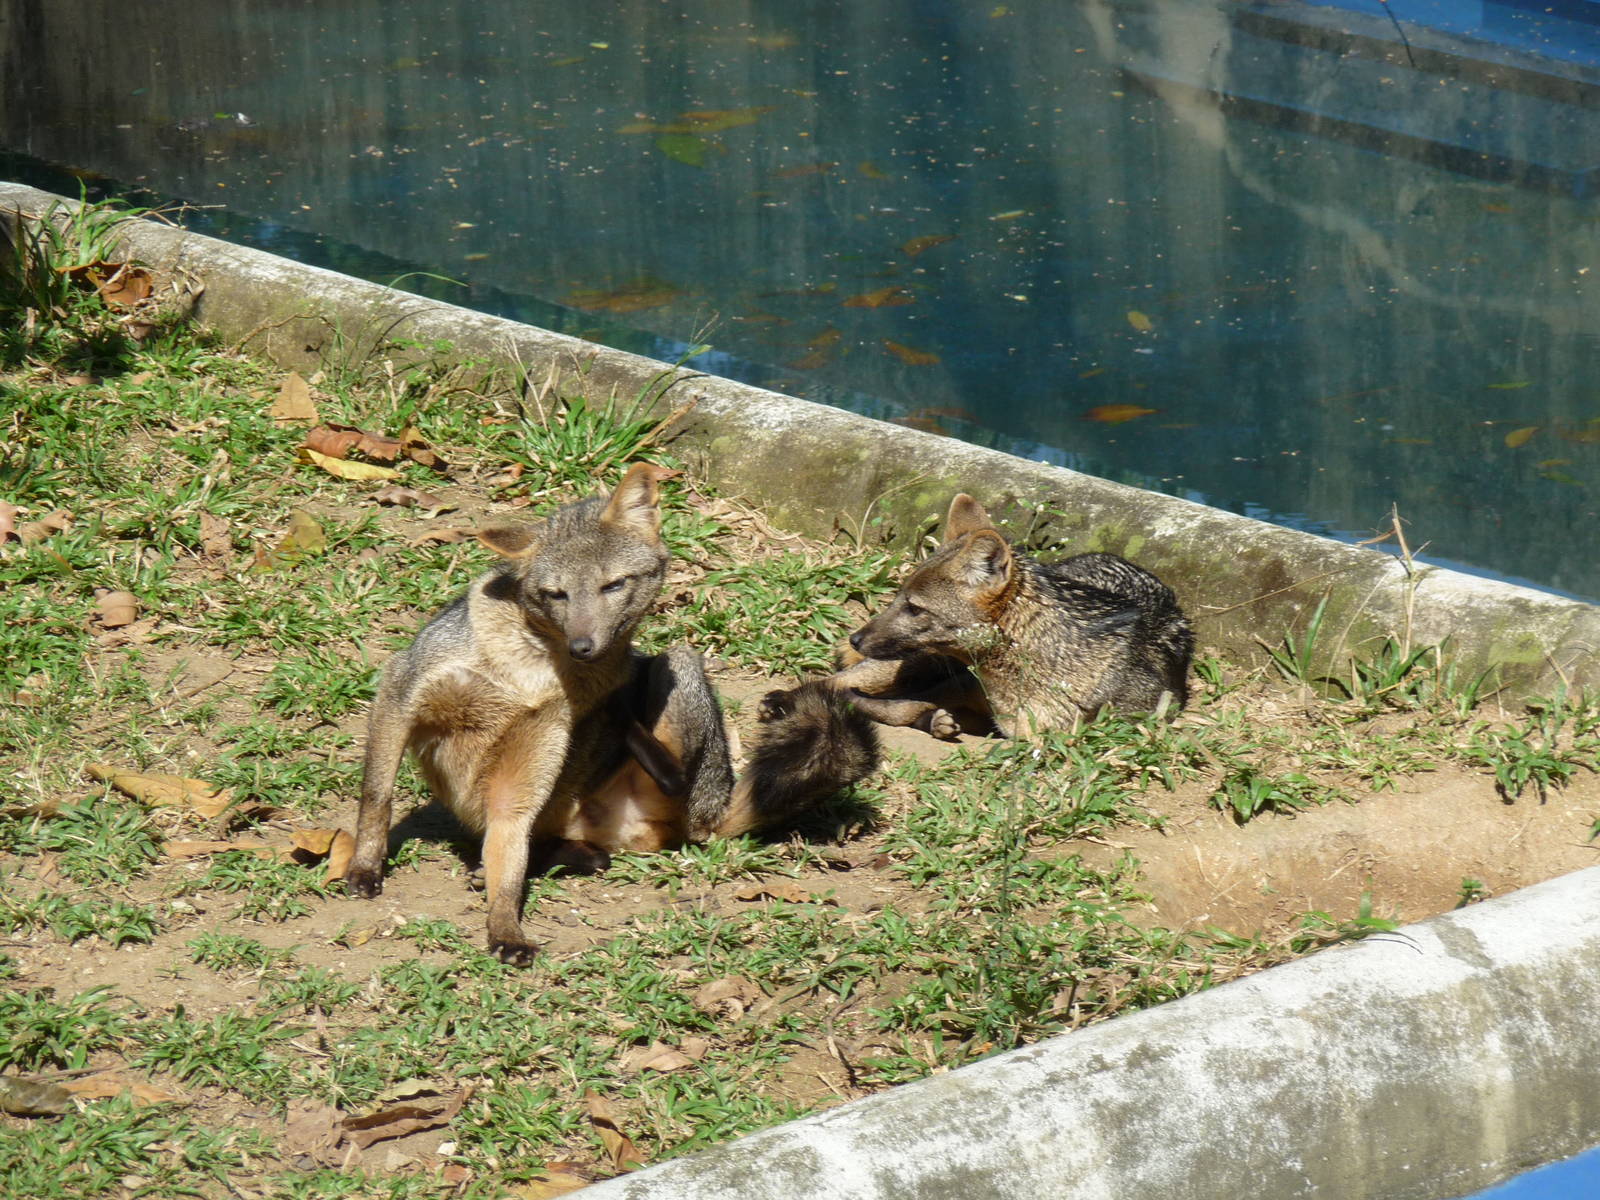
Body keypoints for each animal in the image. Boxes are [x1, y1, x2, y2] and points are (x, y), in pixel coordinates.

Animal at [345, 462, 878, 964]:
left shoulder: (525, 772)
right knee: (583, 851)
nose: (583, 647)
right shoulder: (400, 692)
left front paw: (504, 927)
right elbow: (377, 797)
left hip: (678, 662)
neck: (527, 673)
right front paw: (365, 866)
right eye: (555, 594)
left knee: (670, 777)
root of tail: (710, 812)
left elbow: (508, 869)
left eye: (613, 586)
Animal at [828, 493, 1193, 740]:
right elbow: (885, 704)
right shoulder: (962, 686)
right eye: (898, 597)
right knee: (830, 682)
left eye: (915, 608)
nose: (855, 639)